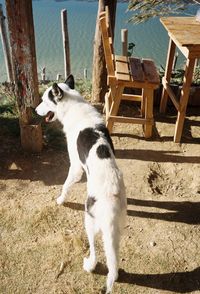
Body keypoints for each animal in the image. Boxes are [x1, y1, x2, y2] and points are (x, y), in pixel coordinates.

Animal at [36, 74, 126, 292]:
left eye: (44, 100)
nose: (35, 110)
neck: (73, 106)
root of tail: (111, 201)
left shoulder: (76, 167)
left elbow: (65, 185)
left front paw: (60, 199)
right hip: (117, 231)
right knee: (114, 260)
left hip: (89, 222)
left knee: (95, 251)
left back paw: (89, 265)